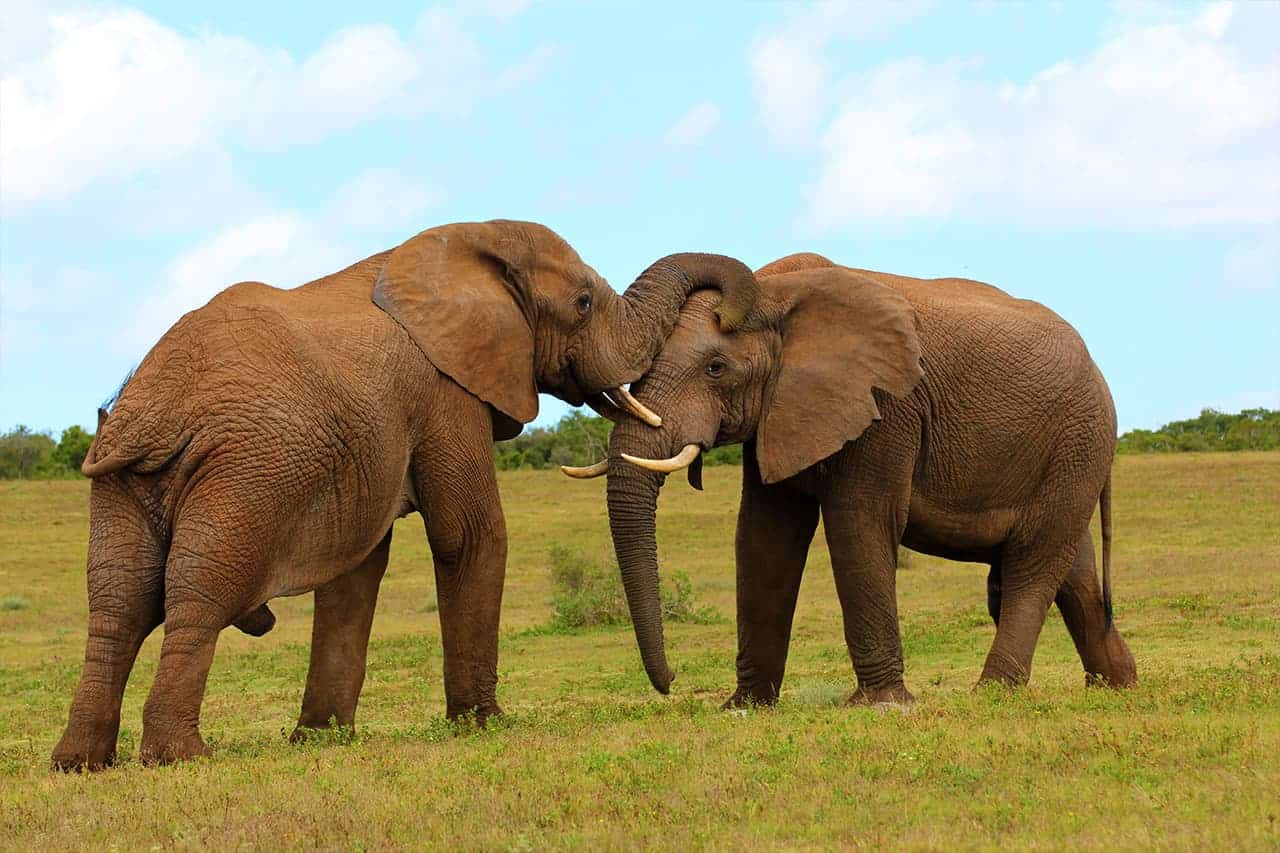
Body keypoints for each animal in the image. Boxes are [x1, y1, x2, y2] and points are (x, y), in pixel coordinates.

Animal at [52, 220, 757, 768]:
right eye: (583, 302)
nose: (675, 685)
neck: (460, 243)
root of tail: (156, 412)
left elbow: (358, 569)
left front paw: (320, 740)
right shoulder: (446, 390)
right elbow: (470, 535)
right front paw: (484, 724)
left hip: (124, 483)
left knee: (119, 600)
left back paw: (80, 763)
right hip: (243, 474)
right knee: (198, 593)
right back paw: (179, 757)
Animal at [570, 251, 1141, 701]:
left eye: (716, 368)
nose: (673, 683)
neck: (780, 293)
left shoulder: (888, 406)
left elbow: (858, 524)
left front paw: (883, 705)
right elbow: (762, 537)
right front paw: (743, 706)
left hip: (1080, 440)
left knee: (1034, 563)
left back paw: (991, 694)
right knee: (1073, 571)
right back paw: (1118, 687)